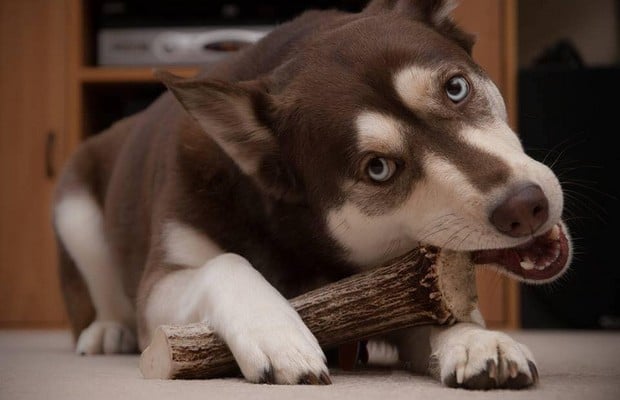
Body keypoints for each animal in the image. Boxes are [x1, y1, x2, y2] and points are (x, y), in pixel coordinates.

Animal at [52, 0, 572, 390]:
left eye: (456, 88)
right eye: (378, 168)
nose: (525, 207)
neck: (303, 241)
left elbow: (438, 312)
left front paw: (473, 339)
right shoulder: (159, 286)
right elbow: (225, 264)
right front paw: (275, 329)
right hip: (73, 210)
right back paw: (106, 331)